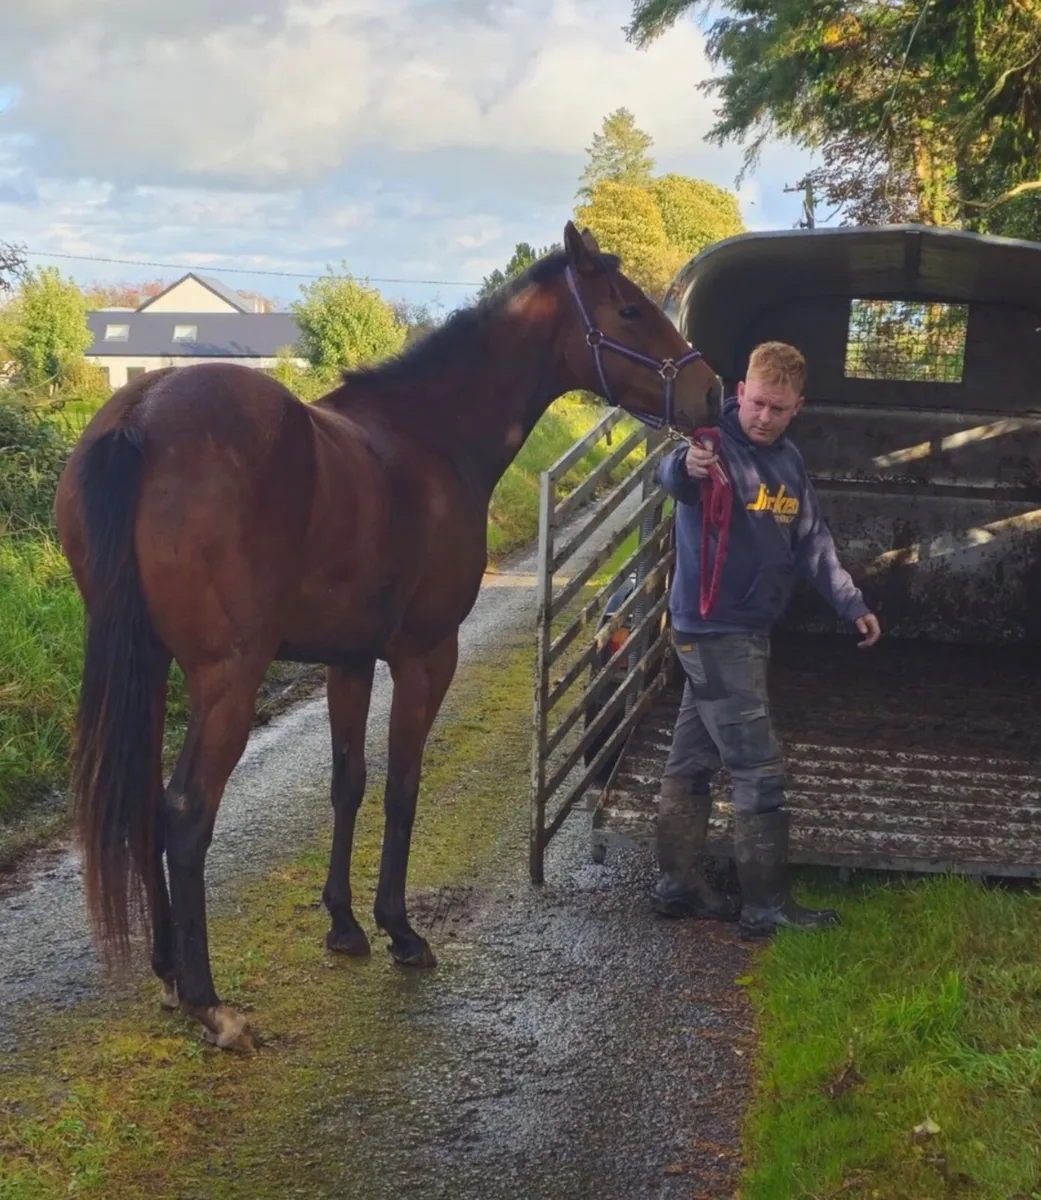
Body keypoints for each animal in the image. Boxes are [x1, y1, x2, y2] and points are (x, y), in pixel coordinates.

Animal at [55, 222, 721, 1052]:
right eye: (628, 309)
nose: (711, 393)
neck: (430, 437)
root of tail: (139, 414)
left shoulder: (348, 661)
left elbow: (349, 783)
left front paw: (343, 925)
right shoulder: (426, 655)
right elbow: (403, 784)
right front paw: (399, 930)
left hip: (149, 665)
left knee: (146, 800)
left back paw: (170, 971)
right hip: (224, 678)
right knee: (185, 812)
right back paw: (211, 1001)